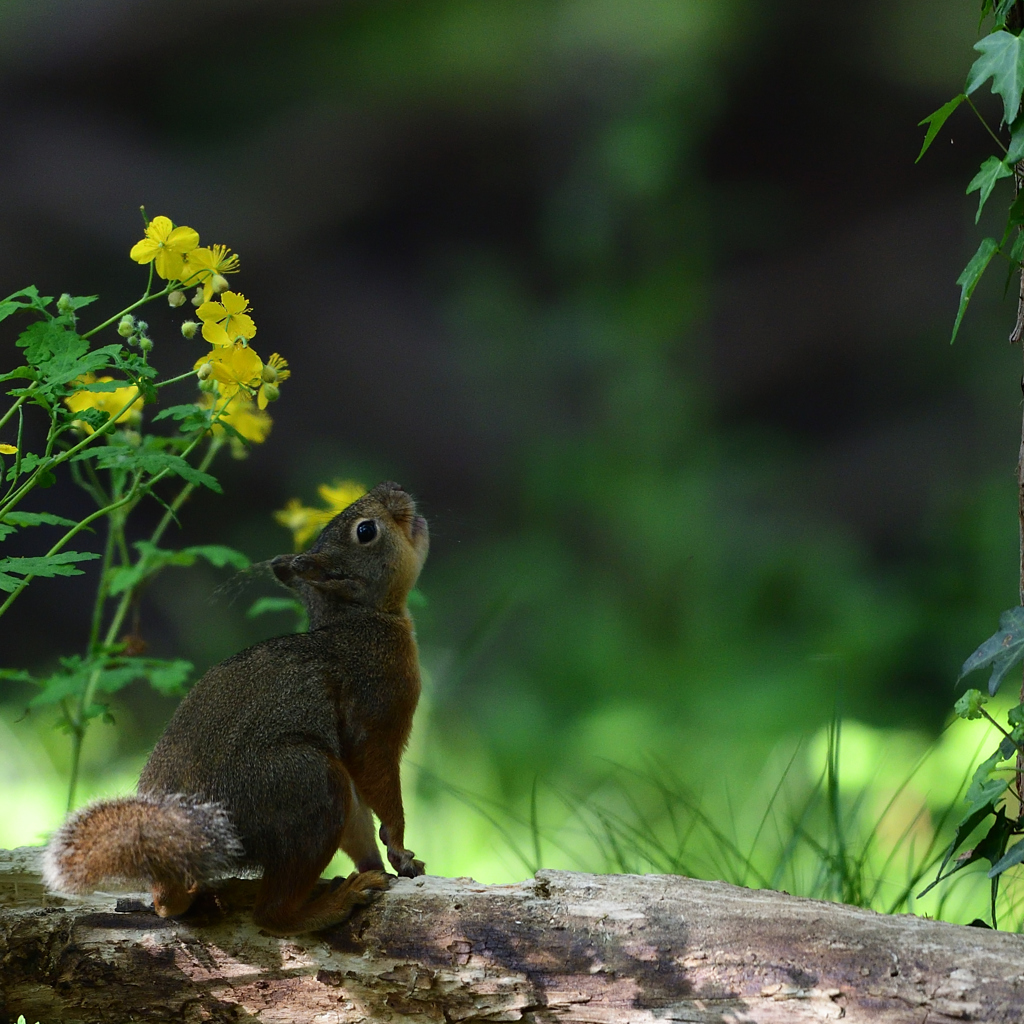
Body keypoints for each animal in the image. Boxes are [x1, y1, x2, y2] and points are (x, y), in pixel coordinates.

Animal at [43, 479, 428, 937]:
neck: (360, 619)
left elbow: (361, 821)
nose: (395, 489)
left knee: (170, 904)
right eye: (365, 532)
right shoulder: (375, 705)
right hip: (308, 782)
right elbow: (377, 775)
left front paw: (385, 861)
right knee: (272, 914)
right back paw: (333, 902)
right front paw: (399, 844)